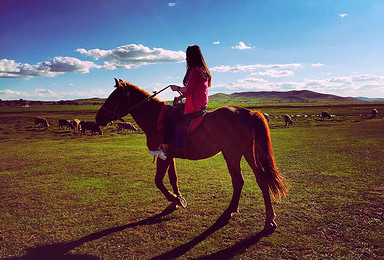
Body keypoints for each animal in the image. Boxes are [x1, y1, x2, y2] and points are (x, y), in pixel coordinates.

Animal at [96, 78, 288, 231]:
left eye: (113, 98)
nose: (98, 118)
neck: (156, 119)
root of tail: (249, 112)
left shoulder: (163, 156)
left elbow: (158, 181)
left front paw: (175, 200)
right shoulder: (170, 156)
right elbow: (173, 178)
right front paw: (176, 199)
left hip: (231, 155)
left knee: (239, 181)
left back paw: (230, 211)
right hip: (248, 153)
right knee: (262, 179)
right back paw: (269, 219)